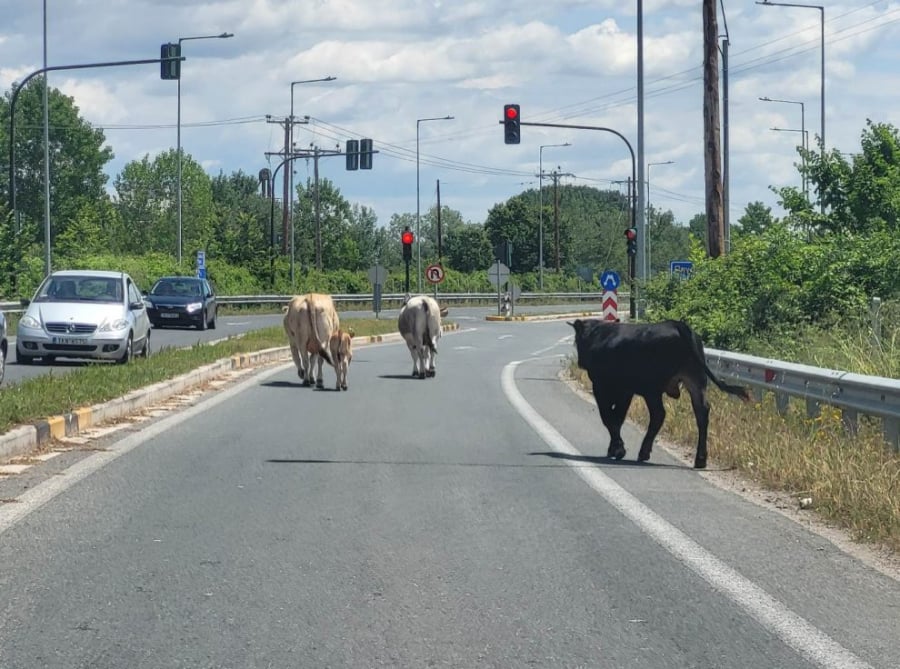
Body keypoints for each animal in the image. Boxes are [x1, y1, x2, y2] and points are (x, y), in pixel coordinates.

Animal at [568, 320, 752, 470]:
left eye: (577, 340)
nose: (580, 362)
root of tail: (677, 324)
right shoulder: (625, 391)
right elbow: (617, 418)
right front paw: (614, 448)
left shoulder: (602, 387)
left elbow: (609, 418)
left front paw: (617, 449)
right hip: (695, 381)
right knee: (701, 412)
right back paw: (700, 459)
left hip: (653, 389)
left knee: (659, 414)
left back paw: (644, 452)